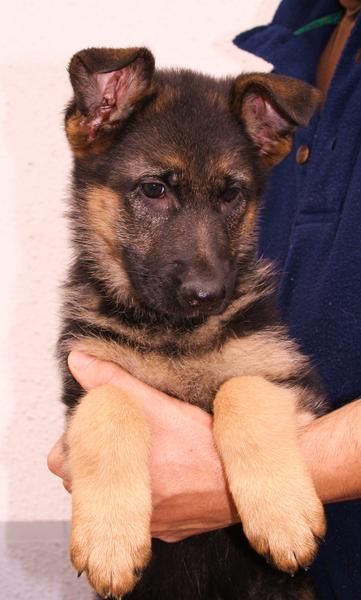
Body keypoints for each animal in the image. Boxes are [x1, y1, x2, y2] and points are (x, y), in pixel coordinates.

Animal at [58, 48, 324, 600]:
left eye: (231, 195)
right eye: (154, 189)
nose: (207, 295)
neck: (174, 335)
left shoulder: (295, 385)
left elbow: (242, 389)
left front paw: (283, 518)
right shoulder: (81, 384)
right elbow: (110, 403)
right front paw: (110, 542)